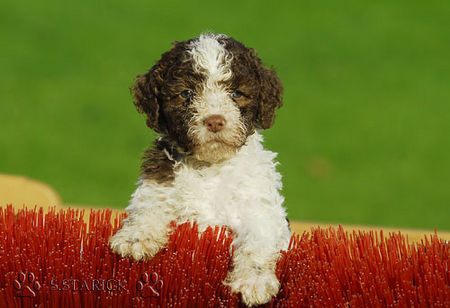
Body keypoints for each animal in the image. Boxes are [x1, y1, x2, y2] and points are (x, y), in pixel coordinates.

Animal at [109, 31, 292, 306]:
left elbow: (258, 240)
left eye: (237, 93)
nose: (215, 121)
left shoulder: (259, 207)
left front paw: (253, 281)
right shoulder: (160, 179)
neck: (210, 166)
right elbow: (150, 203)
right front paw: (135, 237)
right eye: (186, 93)